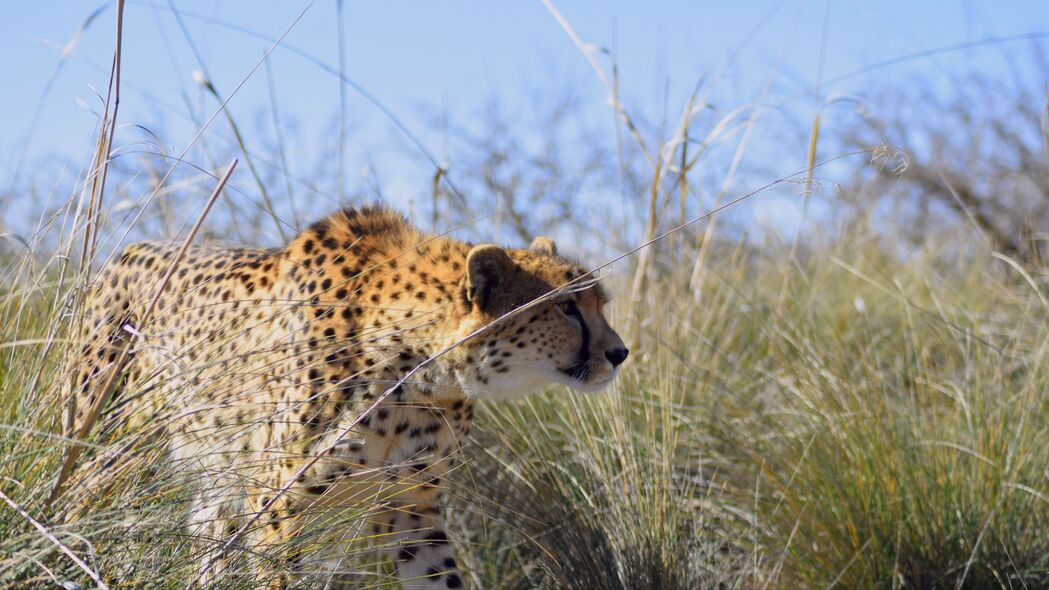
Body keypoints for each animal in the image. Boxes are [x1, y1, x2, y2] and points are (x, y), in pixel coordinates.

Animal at [67, 204, 629, 583]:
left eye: (602, 303)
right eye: (567, 308)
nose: (620, 352)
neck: (421, 372)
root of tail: (125, 252)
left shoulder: (412, 507)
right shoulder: (274, 500)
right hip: (111, 453)